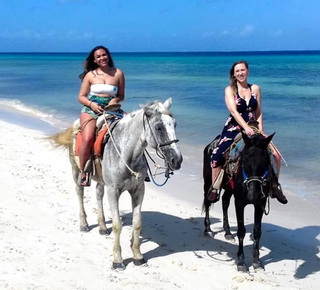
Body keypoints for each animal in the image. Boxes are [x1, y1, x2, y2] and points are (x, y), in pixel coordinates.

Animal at [47, 99, 182, 270]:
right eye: (159, 127)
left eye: (174, 124)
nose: (177, 160)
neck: (127, 153)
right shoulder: (114, 191)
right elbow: (117, 225)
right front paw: (117, 260)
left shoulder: (138, 190)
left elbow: (137, 223)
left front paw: (137, 256)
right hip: (76, 171)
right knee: (79, 193)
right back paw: (83, 224)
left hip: (100, 180)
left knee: (98, 194)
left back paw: (103, 227)